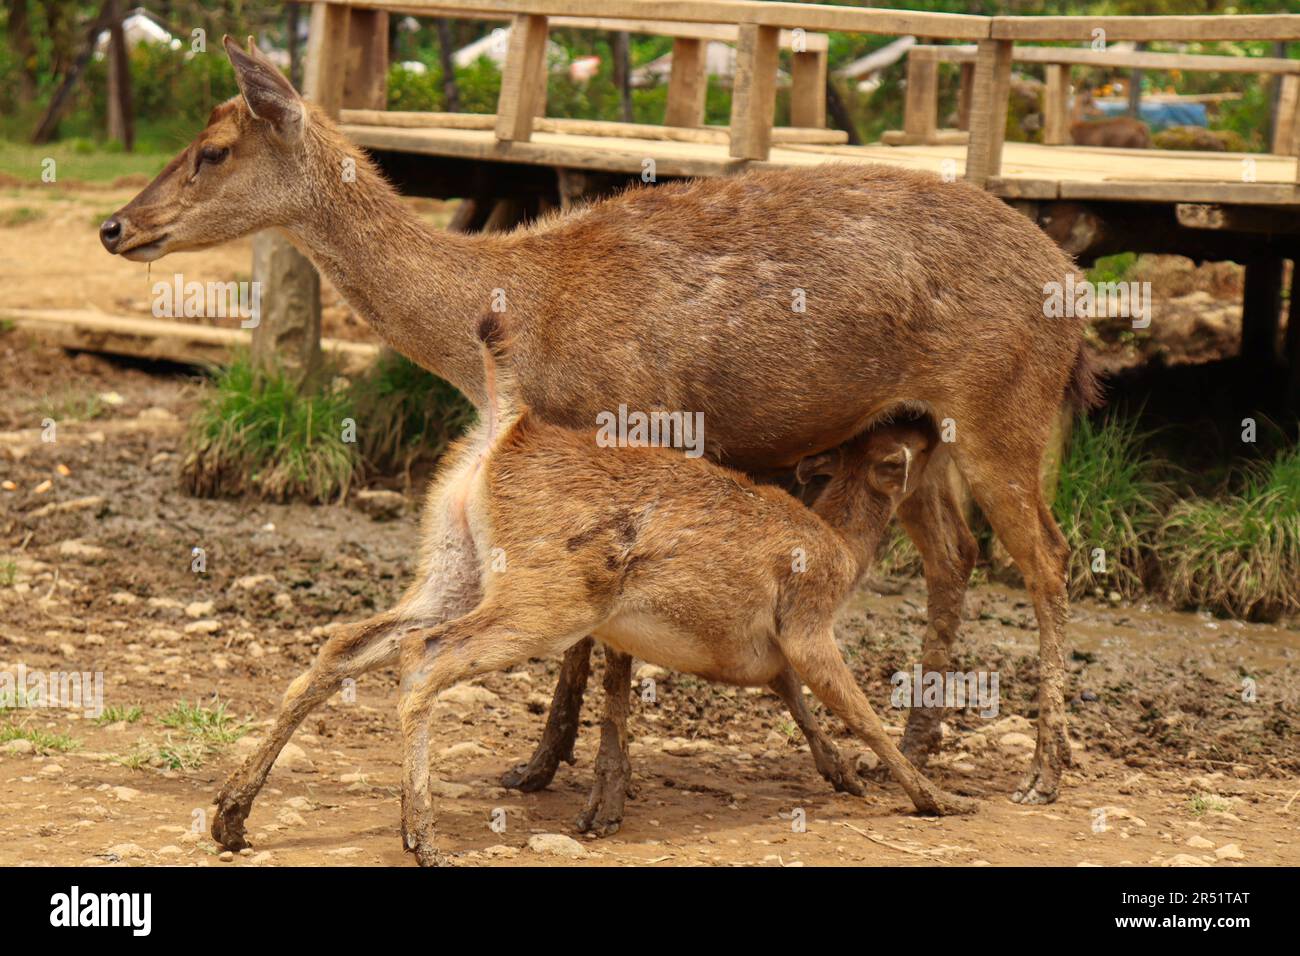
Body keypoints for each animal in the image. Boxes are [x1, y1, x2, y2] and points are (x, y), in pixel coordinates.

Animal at [399, 313, 972, 864]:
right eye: (914, 448)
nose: (925, 416)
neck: (842, 547)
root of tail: (502, 437)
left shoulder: (765, 649)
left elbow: (793, 692)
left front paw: (844, 774)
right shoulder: (808, 619)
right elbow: (860, 712)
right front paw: (937, 799)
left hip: (459, 569)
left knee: (393, 637)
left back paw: (413, 827)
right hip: (544, 600)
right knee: (426, 650)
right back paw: (425, 840)